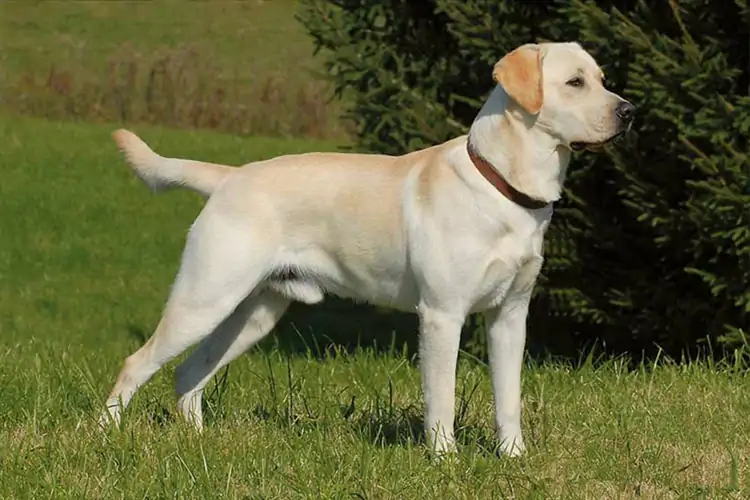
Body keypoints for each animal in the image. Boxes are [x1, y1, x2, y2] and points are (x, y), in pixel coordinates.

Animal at [100, 43, 636, 458]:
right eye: (574, 82)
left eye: (603, 79)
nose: (630, 111)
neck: (505, 186)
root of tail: (230, 177)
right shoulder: (442, 314)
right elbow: (441, 397)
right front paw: (445, 460)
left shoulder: (510, 314)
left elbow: (509, 397)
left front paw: (513, 457)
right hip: (204, 298)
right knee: (136, 363)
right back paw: (104, 436)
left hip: (252, 313)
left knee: (189, 372)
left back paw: (198, 441)